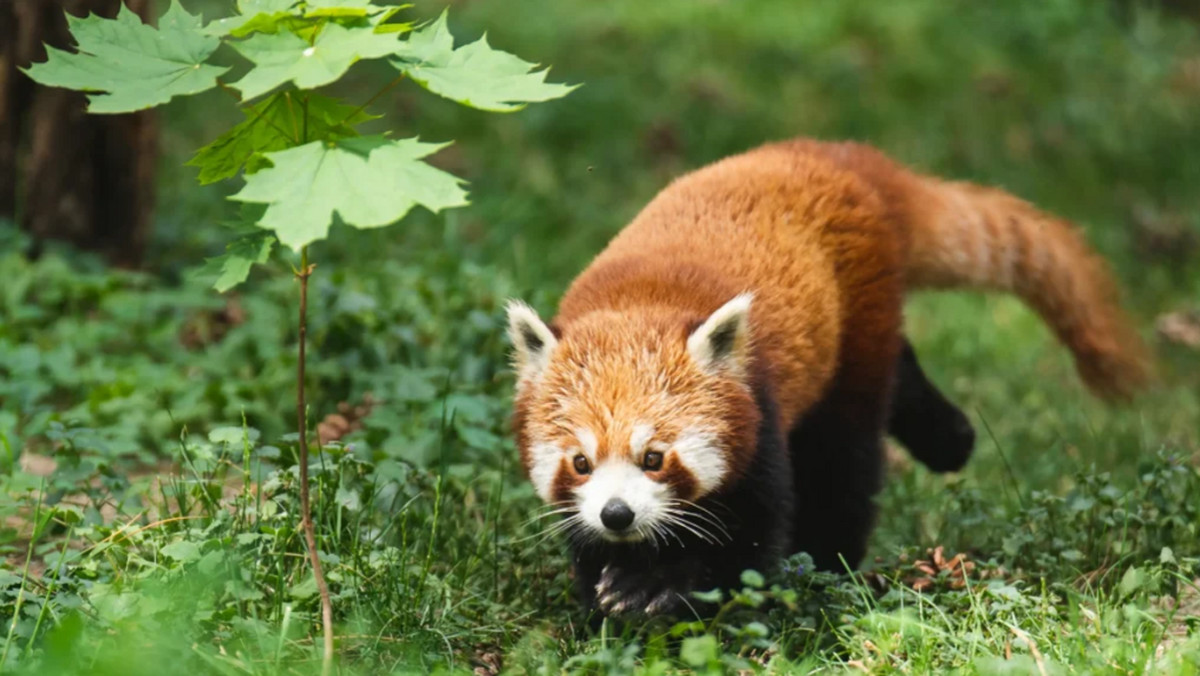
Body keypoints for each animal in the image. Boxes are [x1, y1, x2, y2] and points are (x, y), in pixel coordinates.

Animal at [506, 140, 1152, 619]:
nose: (618, 515)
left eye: (655, 458)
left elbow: (748, 540)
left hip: (853, 328)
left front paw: (664, 587)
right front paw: (607, 594)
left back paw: (830, 560)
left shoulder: (758, 410)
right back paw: (951, 437)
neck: (641, 301)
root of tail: (832, 155)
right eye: (580, 462)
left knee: (846, 459)